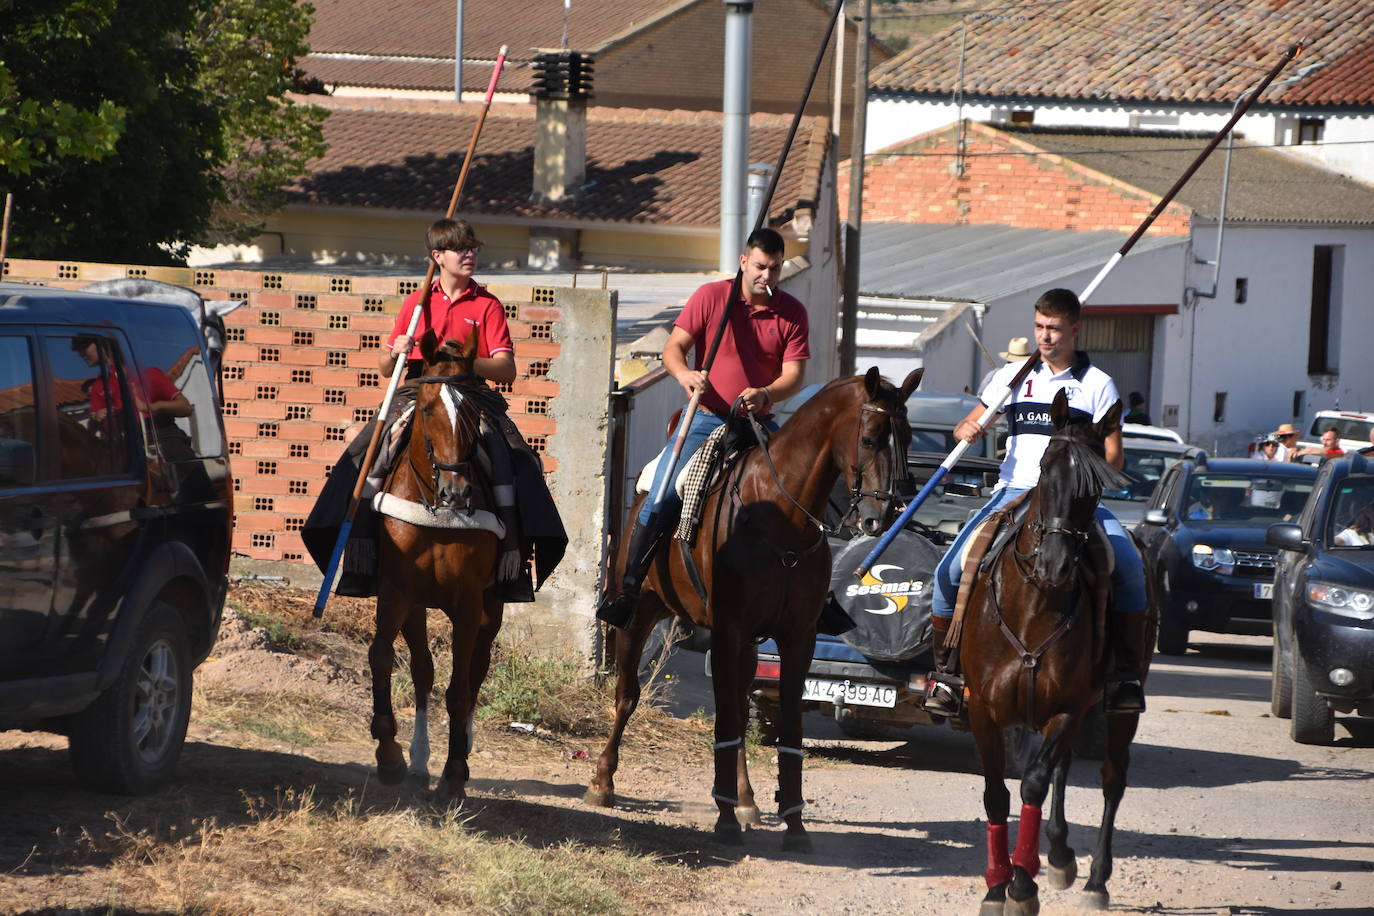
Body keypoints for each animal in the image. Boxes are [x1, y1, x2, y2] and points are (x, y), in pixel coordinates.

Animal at [370, 329, 505, 802]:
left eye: (472, 410)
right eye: (427, 409)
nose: (456, 491)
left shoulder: (468, 603)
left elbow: (460, 689)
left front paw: (454, 773)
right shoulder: (398, 593)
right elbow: (385, 658)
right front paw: (391, 754)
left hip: (492, 608)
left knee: (476, 673)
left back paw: (461, 750)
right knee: (425, 672)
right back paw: (418, 760)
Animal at [585, 368, 917, 851]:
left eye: (907, 438)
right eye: (871, 438)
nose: (883, 518)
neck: (782, 519)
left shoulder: (796, 637)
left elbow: (784, 725)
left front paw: (793, 822)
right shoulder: (729, 630)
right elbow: (725, 719)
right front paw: (725, 820)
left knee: (740, 708)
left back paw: (744, 799)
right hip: (640, 613)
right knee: (628, 694)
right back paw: (603, 780)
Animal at [961, 390, 1154, 911]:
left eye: (1096, 485)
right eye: (1045, 467)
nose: (1054, 564)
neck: (1034, 604)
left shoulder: (1067, 707)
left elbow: (1032, 783)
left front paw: (1021, 885)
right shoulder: (982, 710)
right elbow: (996, 795)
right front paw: (996, 885)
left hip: (1115, 708)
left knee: (1110, 779)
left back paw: (1095, 881)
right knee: (1064, 770)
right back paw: (1062, 855)